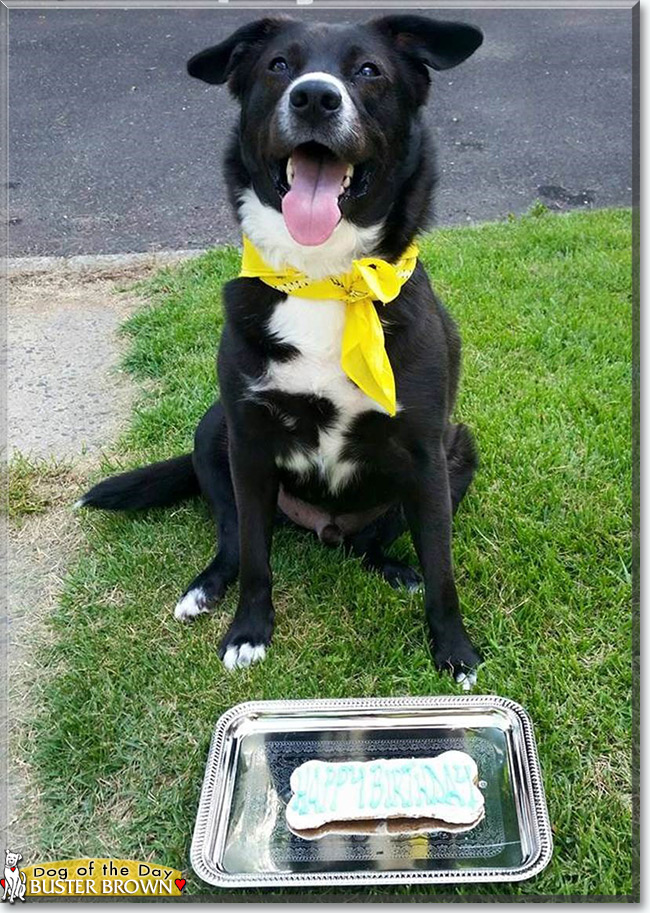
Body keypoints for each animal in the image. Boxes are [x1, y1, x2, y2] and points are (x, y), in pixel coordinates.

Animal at [79, 14, 480, 684]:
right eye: (278, 66)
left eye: (368, 70)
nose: (314, 97)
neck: (321, 278)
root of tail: (323, 528)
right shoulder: (249, 443)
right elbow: (256, 561)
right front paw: (248, 632)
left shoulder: (427, 453)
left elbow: (443, 571)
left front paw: (454, 650)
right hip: (215, 434)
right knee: (233, 541)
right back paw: (205, 588)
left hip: (459, 451)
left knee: (371, 545)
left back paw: (396, 570)